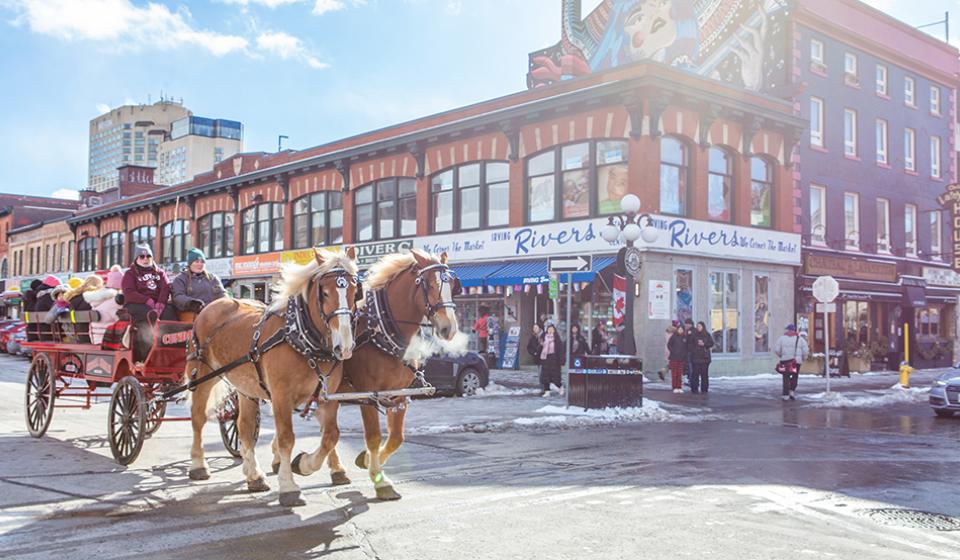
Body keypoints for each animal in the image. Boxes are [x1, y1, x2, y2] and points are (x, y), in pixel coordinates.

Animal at [184, 247, 360, 506]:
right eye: (325, 293)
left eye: (354, 291)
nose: (345, 346)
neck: (301, 338)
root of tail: (212, 305)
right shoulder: (281, 396)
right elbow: (287, 438)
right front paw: (288, 485)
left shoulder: (327, 396)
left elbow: (331, 435)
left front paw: (306, 464)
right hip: (203, 376)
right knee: (197, 418)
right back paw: (198, 464)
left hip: (245, 387)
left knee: (244, 427)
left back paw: (254, 475)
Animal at [284, 249, 462, 498]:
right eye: (427, 284)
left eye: (452, 285)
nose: (449, 328)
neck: (381, 332)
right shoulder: (368, 394)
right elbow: (374, 436)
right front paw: (380, 481)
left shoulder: (399, 394)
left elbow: (396, 437)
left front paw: (366, 459)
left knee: (325, 429)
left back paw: (334, 470)